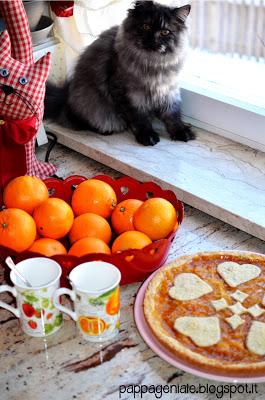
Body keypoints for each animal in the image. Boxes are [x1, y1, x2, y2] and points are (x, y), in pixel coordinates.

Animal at [44, 0, 194, 147]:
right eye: (146, 27)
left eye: (165, 32)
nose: (153, 40)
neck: (153, 63)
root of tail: (65, 97)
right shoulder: (128, 94)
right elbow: (139, 118)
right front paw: (147, 136)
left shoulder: (168, 90)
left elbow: (172, 114)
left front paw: (181, 131)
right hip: (91, 105)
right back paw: (105, 131)